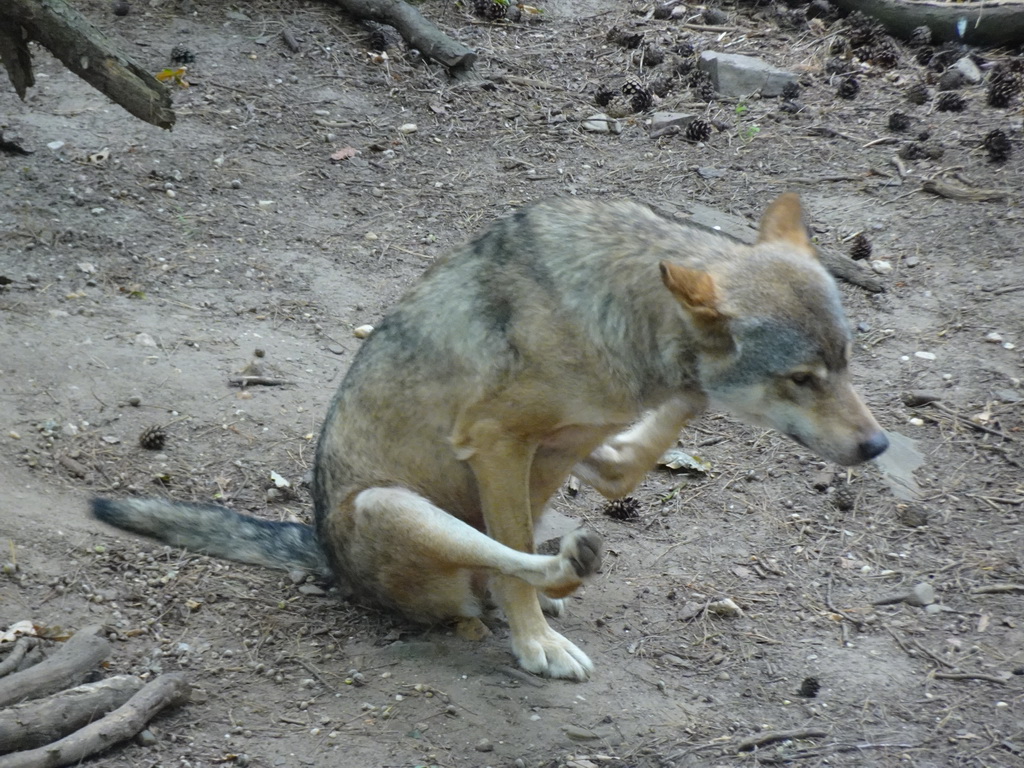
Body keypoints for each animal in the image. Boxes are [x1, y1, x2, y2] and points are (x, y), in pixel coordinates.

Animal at [90, 195, 888, 684]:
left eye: (847, 362)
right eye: (802, 378)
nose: (878, 447)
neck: (615, 312)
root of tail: (325, 557)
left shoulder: (585, 446)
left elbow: (637, 458)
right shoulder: (497, 444)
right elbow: (512, 563)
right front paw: (535, 647)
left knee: (516, 558)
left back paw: (566, 571)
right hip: (388, 504)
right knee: (503, 566)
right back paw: (558, 579)